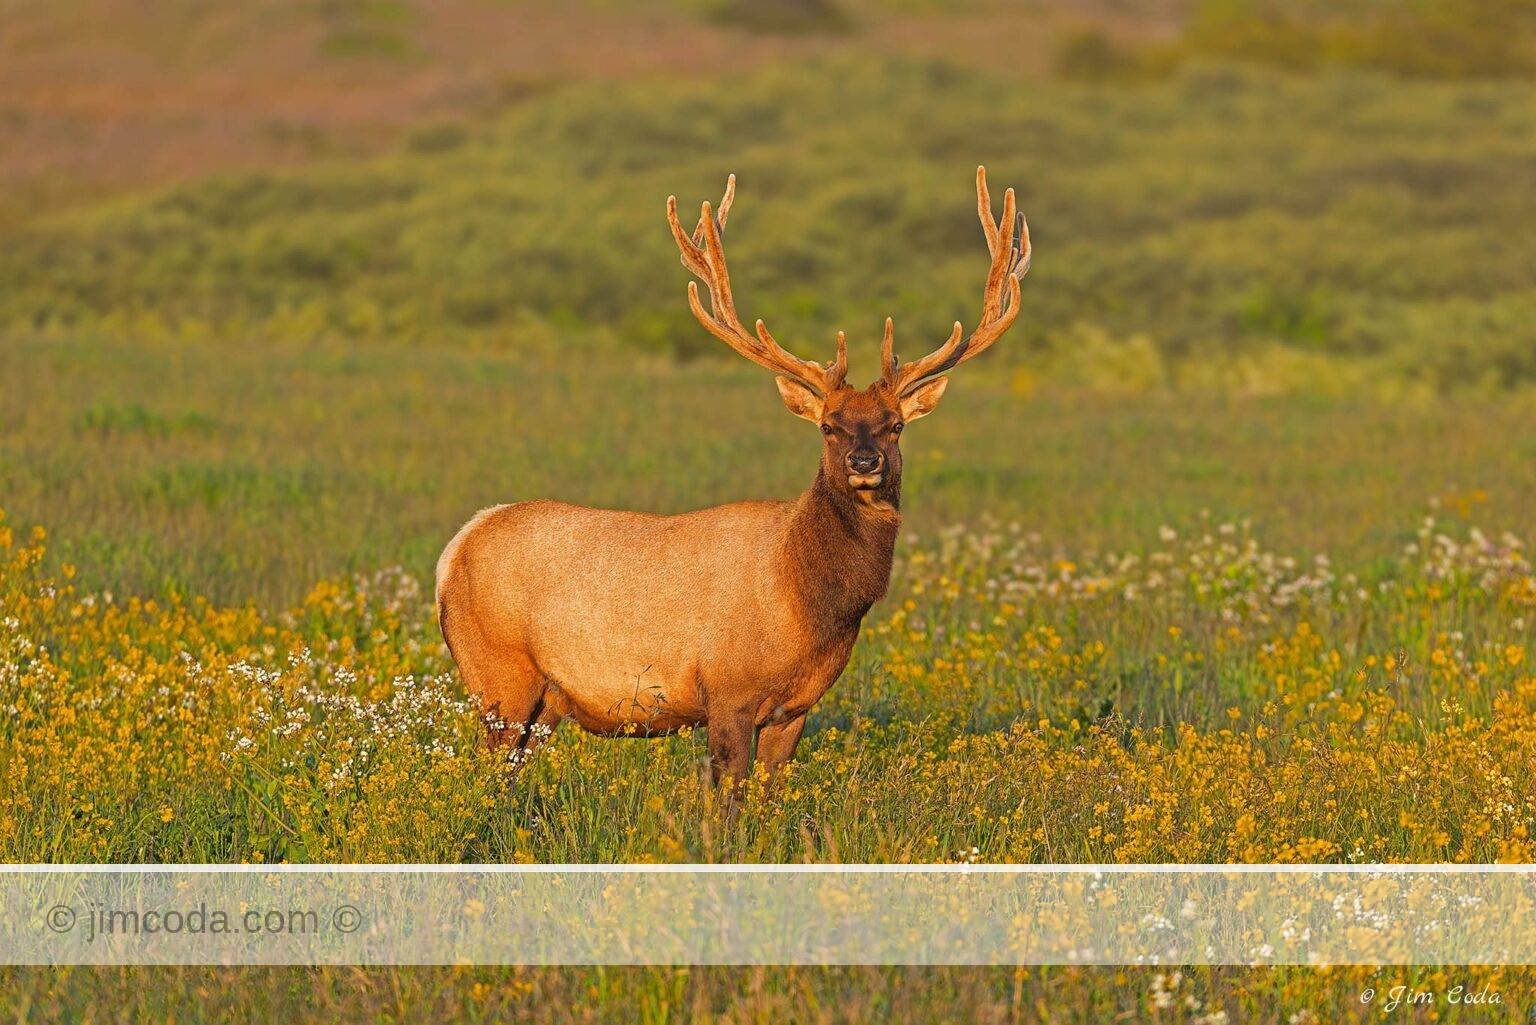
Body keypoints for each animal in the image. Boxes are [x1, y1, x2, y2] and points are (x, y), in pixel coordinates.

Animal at [435, 167, 1030, 789]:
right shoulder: (728, 691)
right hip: (499, 674)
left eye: (895, 426)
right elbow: (727, 798)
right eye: (828, 427)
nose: (864, 462)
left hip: (545, 699)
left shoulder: (795, 708)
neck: (807, 598)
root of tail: (452, 553)